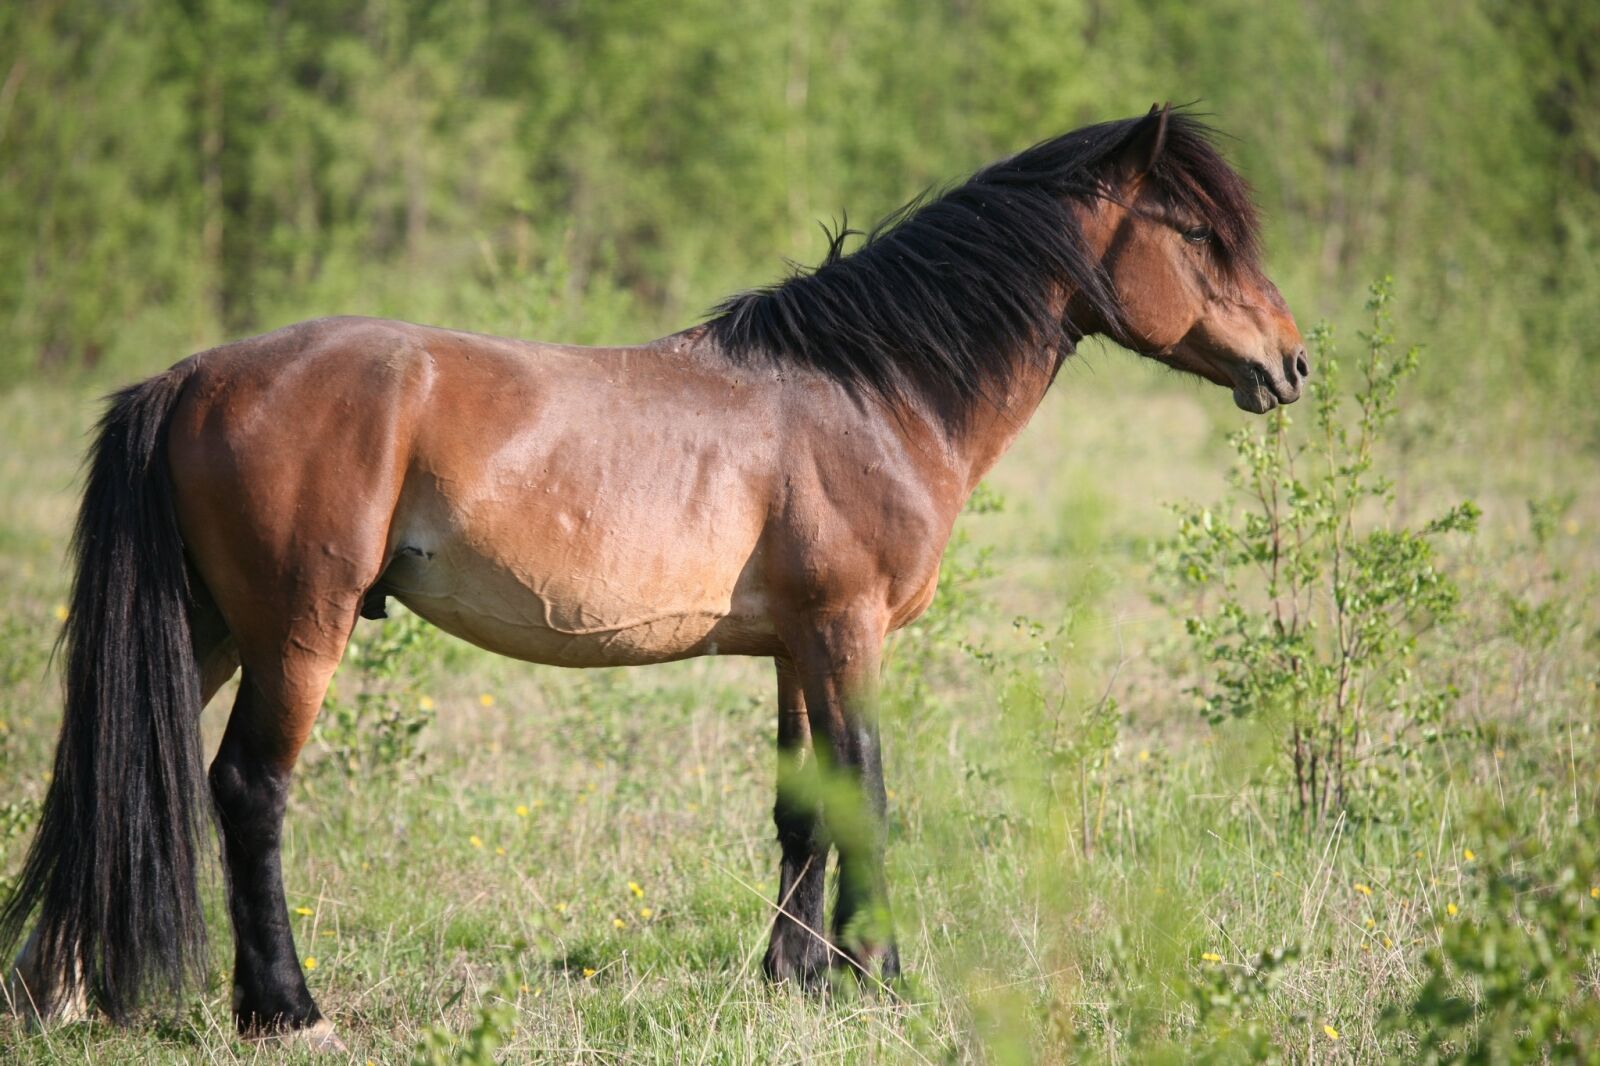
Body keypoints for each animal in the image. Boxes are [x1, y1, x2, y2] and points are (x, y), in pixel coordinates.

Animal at [1, 105, 1306, 1047]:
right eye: (1199, 235)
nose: (1291, 364)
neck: (866, 389)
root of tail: (192, 376)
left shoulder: (795, 643)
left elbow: (800, 805)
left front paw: (793, 977)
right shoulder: (849, 631)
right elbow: (867, 790)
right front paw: (878, 972)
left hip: (211, 626)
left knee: (94, 776)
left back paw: (51, 993)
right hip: (295, 631)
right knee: (248, 789)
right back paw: (286, 1009)